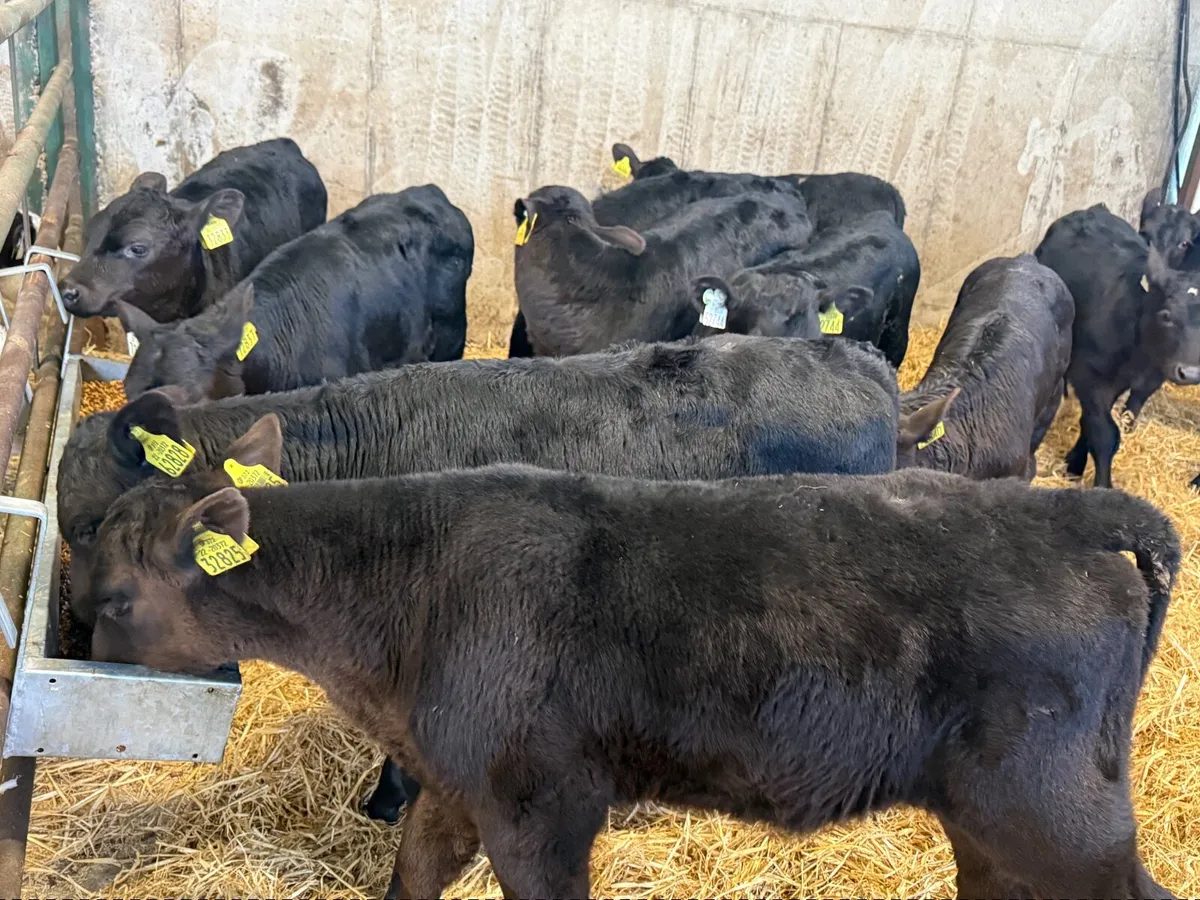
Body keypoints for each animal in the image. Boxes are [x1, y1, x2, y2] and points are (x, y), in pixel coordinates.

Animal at [87, 437, 1178, 900]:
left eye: (112, 599)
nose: (80, 647)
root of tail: (1077, 512)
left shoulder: (541, 803)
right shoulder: (455, 782)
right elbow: (412, 878)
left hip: (1059, 816)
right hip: (995, 827)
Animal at [1036, 203, 1200, 487]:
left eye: (1185, 242)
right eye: (1166, 315)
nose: (1189, 372)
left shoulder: (1140, 380)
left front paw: (1075, 462)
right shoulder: (1090, 375)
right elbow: (1104, 433)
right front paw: (1099, 483)